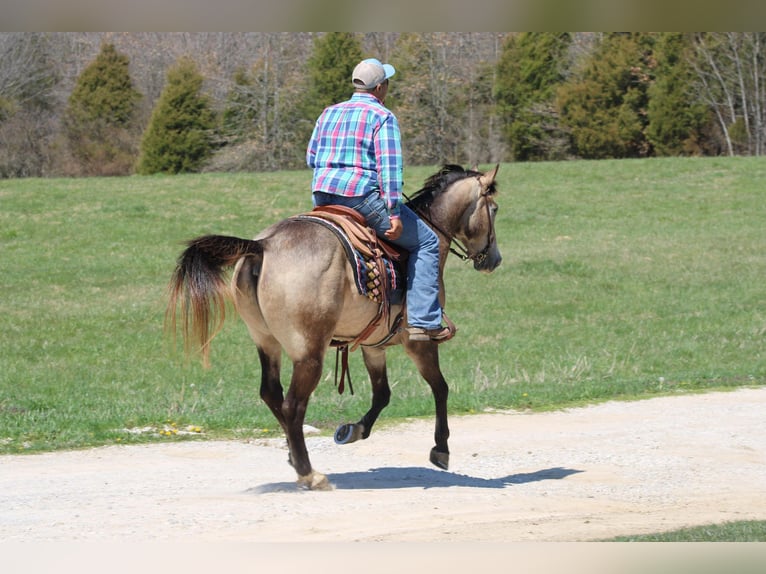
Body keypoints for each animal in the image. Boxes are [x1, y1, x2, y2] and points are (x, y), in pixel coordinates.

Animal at [166, 163, 504, 490]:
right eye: (495, 208)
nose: (495, 260)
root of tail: (263, 246)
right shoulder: (418, 342)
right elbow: (440, 387)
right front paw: (441, 448)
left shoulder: (373, 344)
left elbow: (382, 393)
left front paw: (353, 430)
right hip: (308, 352)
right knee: (292, 405)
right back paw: (309, 474)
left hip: (266, 340)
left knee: (272, 394)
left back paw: (294, 456)